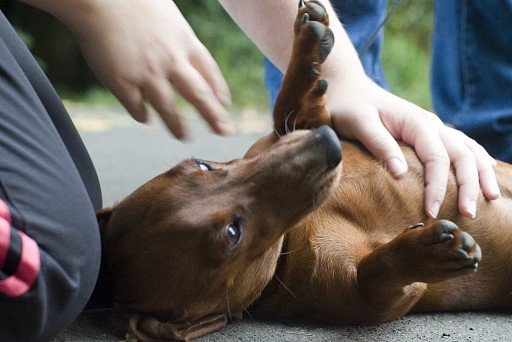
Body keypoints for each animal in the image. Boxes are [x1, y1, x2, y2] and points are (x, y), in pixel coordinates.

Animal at [96, 1, 512, 340]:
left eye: (203, 165)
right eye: (233, 233)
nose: (326, 144)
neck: (293, 237)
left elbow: (288, 111)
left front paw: (307, 46)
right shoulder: (373, 297)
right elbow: (377, 273)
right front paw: (425, 251)